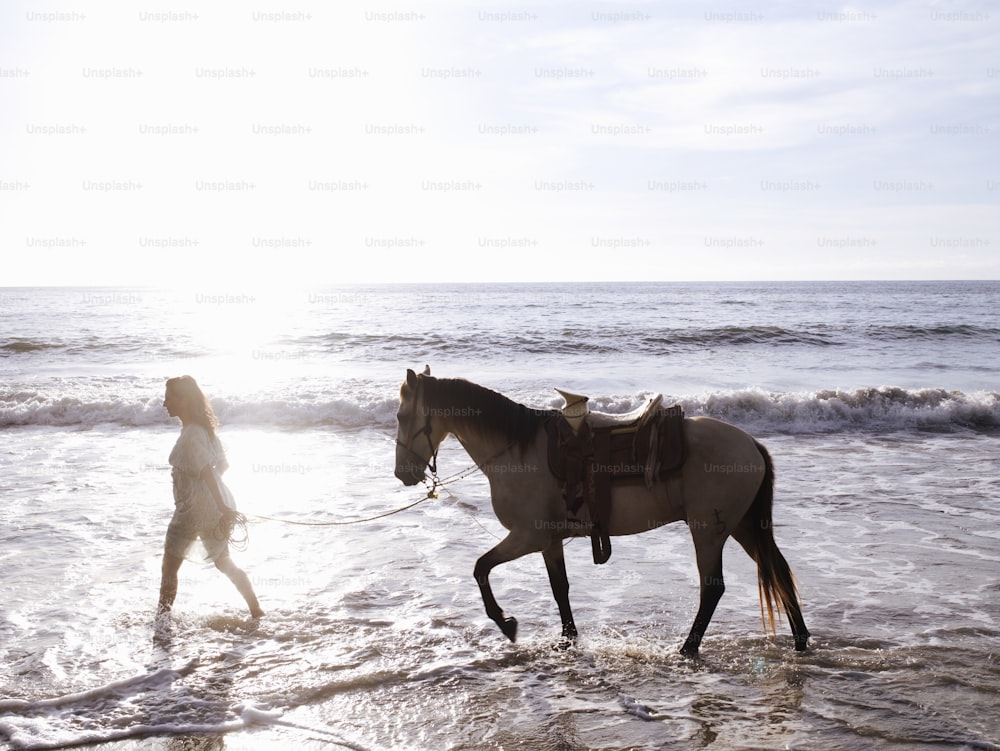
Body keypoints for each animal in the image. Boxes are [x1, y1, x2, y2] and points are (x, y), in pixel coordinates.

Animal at [394, 368, 808, 656]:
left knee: (713, 588)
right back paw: (800, 638)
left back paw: (688, 648)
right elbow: (559, 588)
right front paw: (568, 638)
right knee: (778, 569)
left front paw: (506, 623)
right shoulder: (547, 540)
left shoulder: (526, 536)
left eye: (400, 417)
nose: (402, 473)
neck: (517, 450)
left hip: (709, 530)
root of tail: (751, 444)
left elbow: (481, 568)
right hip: (742, 526)